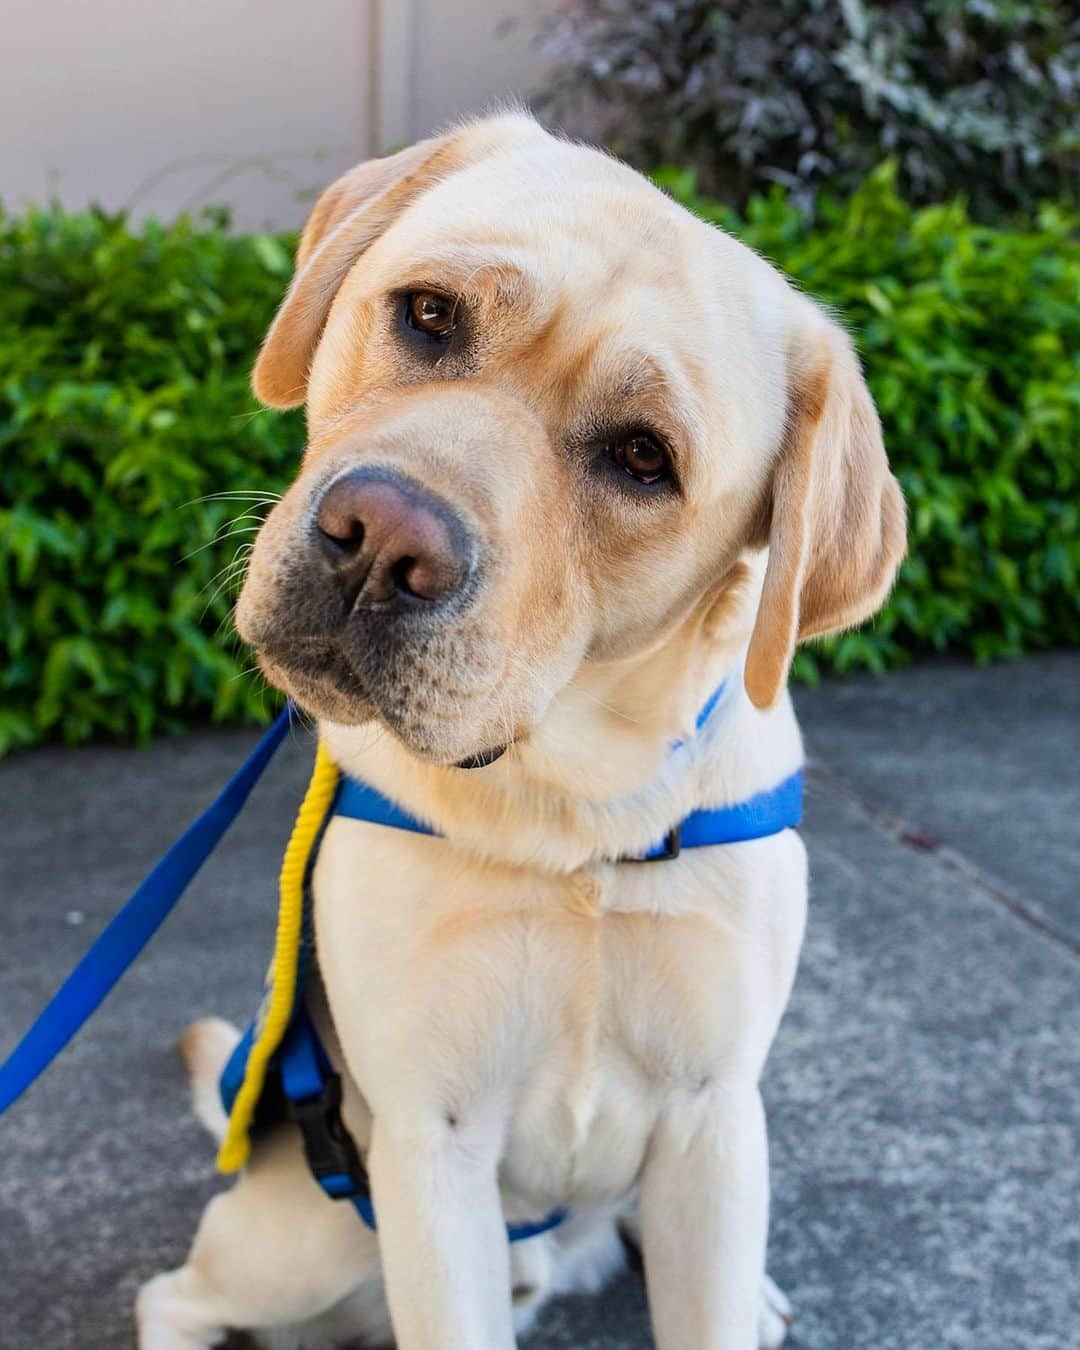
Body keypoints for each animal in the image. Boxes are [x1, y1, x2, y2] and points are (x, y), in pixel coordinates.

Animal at [139, 110, 907, 1344]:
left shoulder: (714, 1119)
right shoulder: (428, 1138)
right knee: (174, 1292)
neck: (574, 814)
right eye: (429, 315)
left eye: (644, 456)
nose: (380, 540)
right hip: (300, 1238)